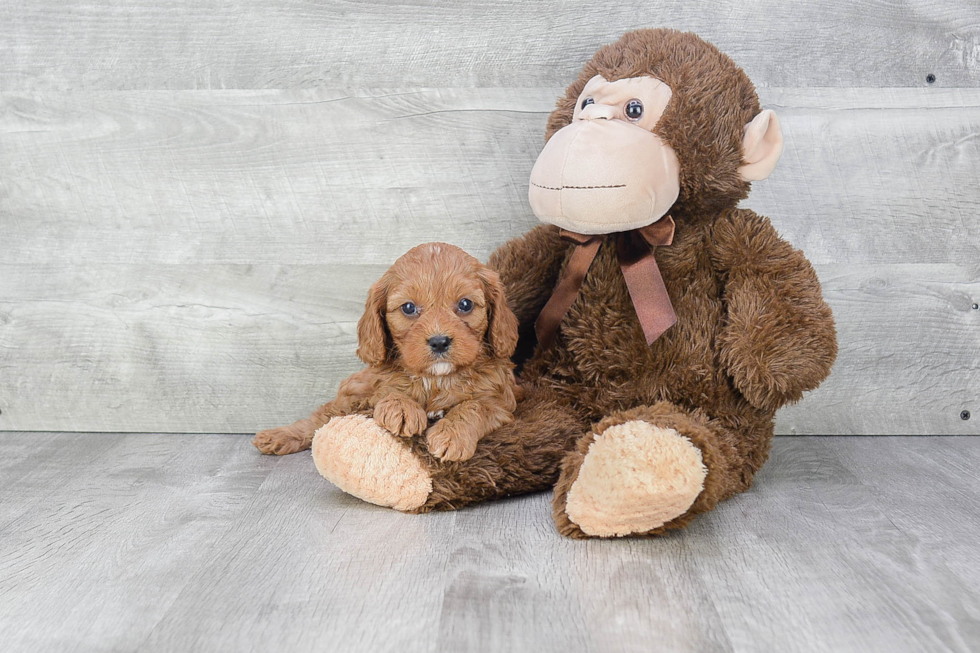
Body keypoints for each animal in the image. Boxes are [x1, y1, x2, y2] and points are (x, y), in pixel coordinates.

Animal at [256, 242, 524, 460]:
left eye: (465, 304)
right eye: (408, 308)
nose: (439, 341)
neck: (435, 379)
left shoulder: (502, 401)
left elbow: (475, 406)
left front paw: (452, 435)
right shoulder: (376, 386)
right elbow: (389, 390)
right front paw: (401, 408)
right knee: (323, 415)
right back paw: (277, 436)